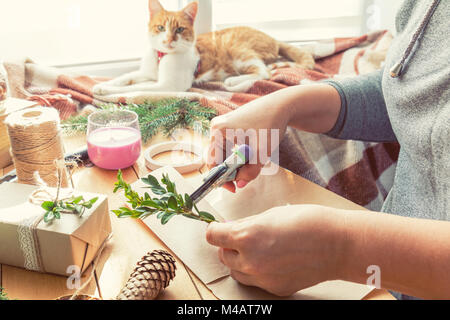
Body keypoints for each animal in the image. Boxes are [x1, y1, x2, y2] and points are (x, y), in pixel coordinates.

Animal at [93, 0, 314, 95]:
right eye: (161, 27)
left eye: (180, 29)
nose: (169, 39)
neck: (162, 57)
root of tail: (272, 38)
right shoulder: (145, 72)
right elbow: (125, 77)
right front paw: (102, 85)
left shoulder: (169, 85)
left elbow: (136, 87)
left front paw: (106, 89)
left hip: (237, 49)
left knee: (264, 72)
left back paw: (234, 80)